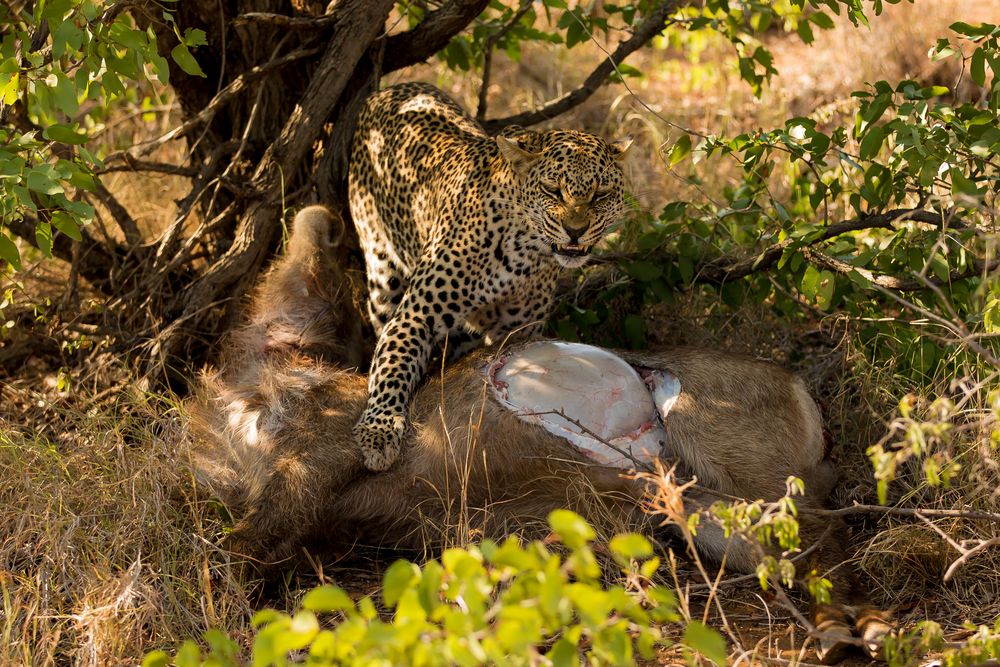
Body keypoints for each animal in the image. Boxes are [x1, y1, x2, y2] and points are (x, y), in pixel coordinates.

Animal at [348, 82, 628, 470]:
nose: (576, 231)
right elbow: (393, 365)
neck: (522, 251)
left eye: (601, 194)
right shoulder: (415, 315)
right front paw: (380, 429)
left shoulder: (518, 331)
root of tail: (392, 88)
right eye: (552, 190)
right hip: (381, 272)